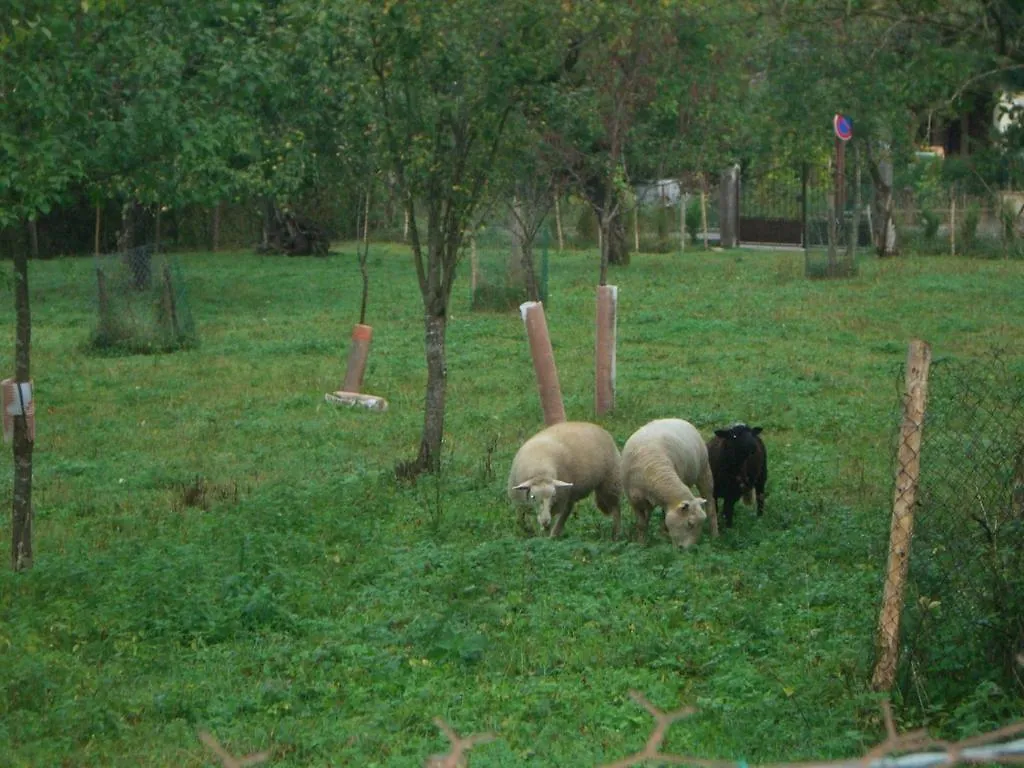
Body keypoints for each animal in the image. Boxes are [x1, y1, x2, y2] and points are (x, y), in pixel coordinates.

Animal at [614, 417, 720, 548]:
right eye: (690, 523)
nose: (686, 549)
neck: (653, 469)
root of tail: (674, 418)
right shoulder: (635, 500)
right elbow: (642, 524)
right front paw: (641, 543)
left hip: (704, 470)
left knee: (710, 505)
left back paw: (715, 536)